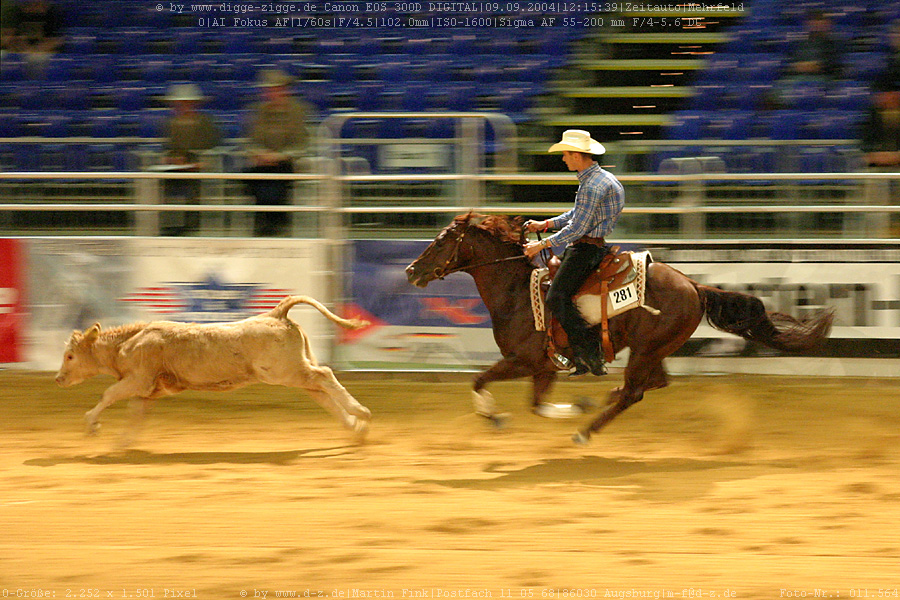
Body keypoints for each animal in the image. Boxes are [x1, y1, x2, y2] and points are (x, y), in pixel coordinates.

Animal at [404, 213, 832, 442]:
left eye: (441, 242)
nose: (410, 271)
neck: (517, 292)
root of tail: (693, 285)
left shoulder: (526, 361)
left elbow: (484, 382)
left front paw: (496, 416)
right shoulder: (542, 368)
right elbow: (532, 402)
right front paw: (575, 404)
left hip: (646, 349)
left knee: (635, 392)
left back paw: (587, 429)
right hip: (655, 349)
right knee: (651, 384)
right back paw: (602, 399)